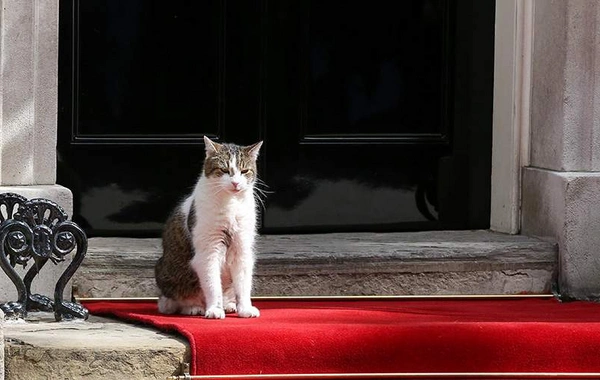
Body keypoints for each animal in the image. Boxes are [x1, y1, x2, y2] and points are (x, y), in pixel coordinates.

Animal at [155, 135, 262, 320]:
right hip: (169, 275)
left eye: (244, 171)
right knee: (173, 302)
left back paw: (229, 305)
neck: (231, 203)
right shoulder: (209, 249)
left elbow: (243, 284)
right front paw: (214, 309)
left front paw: (245, 309)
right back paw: (194, 307)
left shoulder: (241, 248)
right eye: (224, 170)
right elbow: (212, 284)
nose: (235, 183)